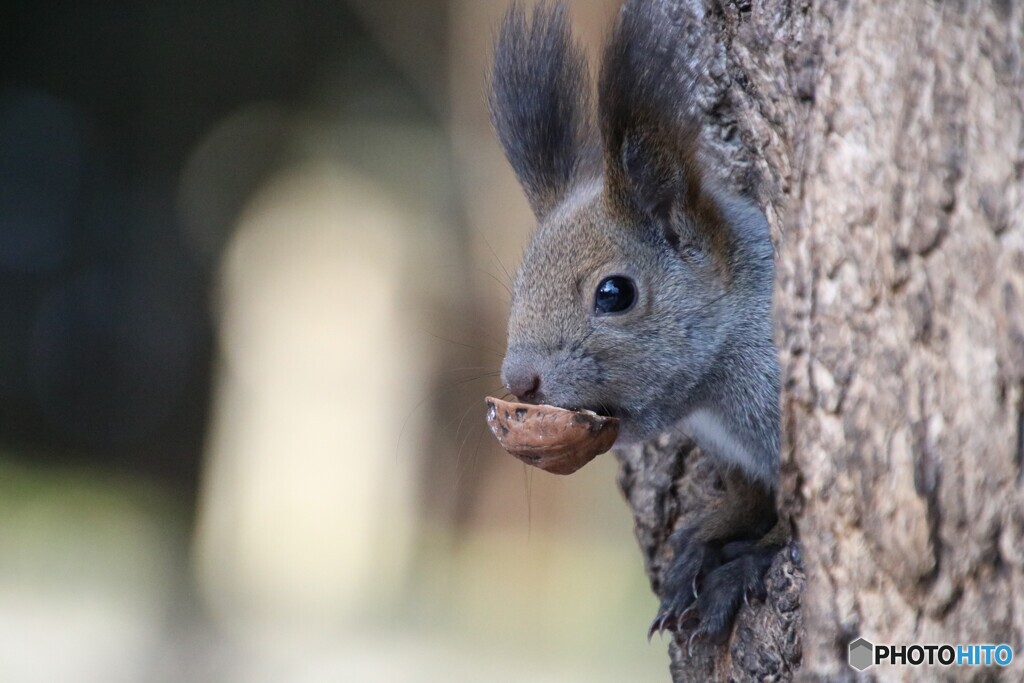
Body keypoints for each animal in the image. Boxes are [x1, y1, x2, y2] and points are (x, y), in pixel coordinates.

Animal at [487, 0, 782, 647]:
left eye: (614, 294)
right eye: (519, 286)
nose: (519, 382)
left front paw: (752, 557)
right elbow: (750, 495)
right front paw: (712, 533)